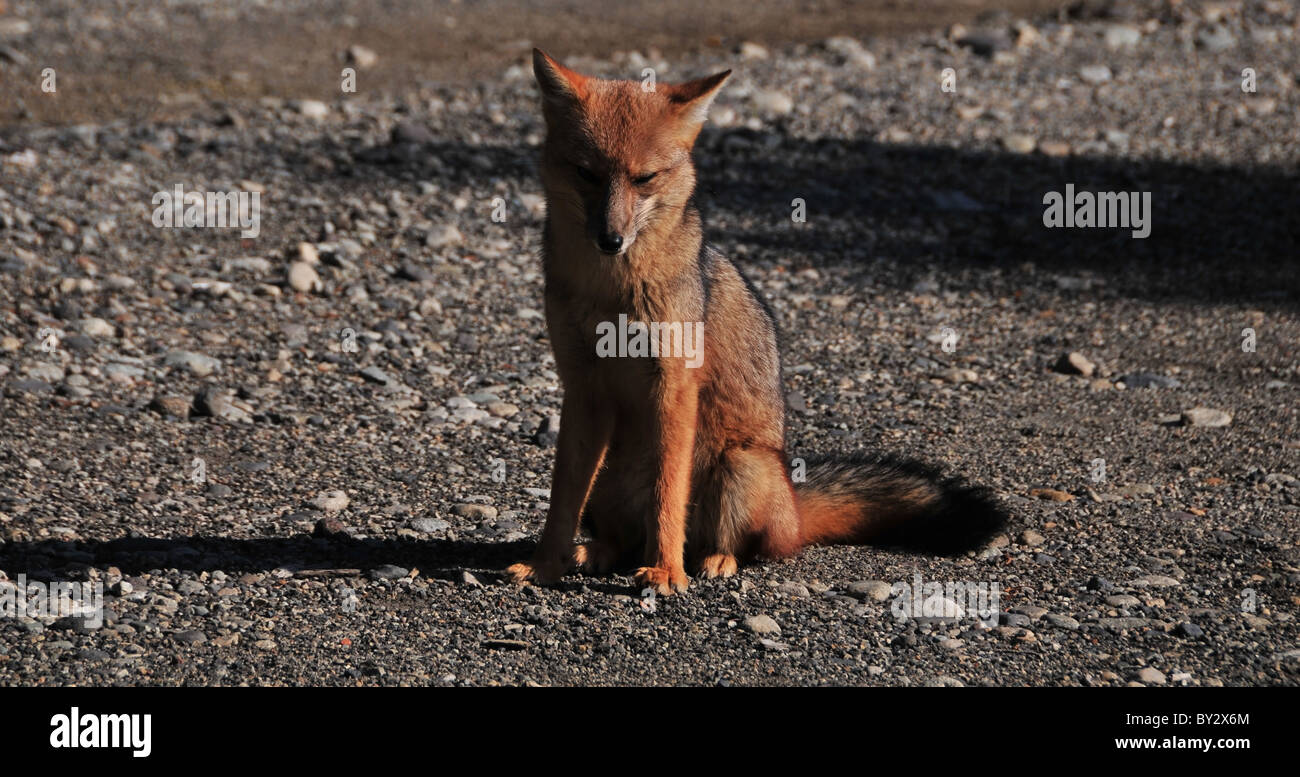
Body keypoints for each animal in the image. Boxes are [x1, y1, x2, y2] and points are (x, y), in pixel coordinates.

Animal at [507, 49, 1007, 595]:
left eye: (645, 178)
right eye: (587, 173)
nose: (610, 240)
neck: (608, 291)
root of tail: (794, 502)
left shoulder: (674, 385)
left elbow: (668, 493)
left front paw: (667, 571)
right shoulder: (581, 388)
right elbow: (561, 498)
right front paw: (545, 565)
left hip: (740, 465)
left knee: (745, 546)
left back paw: (711, 559)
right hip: (610, 478)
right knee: (621, 538)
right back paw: (597, 552)